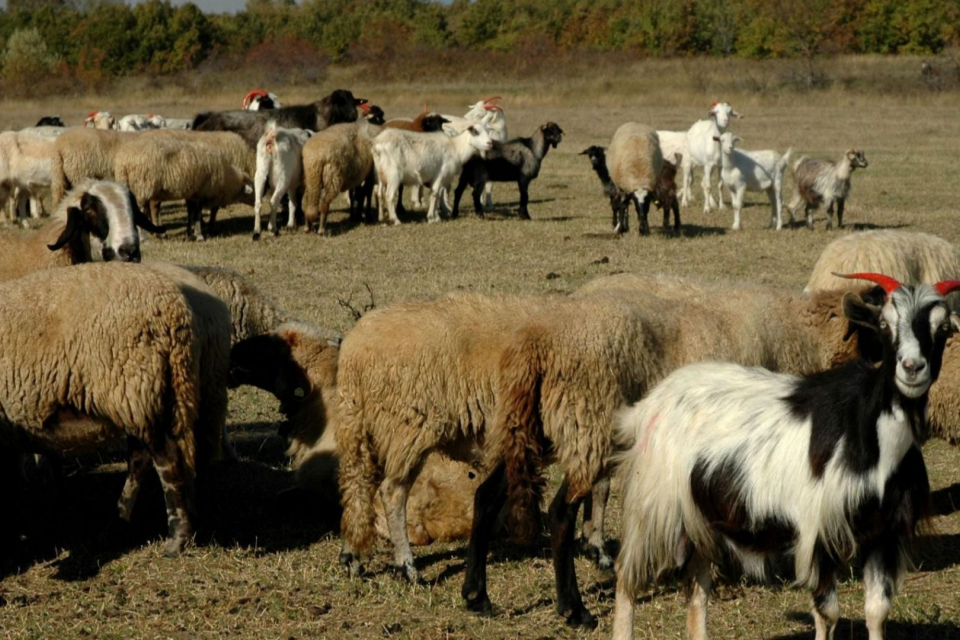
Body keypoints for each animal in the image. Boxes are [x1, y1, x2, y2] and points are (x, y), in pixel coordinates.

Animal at [0, 260, 206, 556]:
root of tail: (175, 311)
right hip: (152, 399)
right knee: (141, 460)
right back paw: (120, 522)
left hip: (139, 390)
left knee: (168, 460)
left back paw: (177, 538)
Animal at [612, 272, 956, 640]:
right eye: (884, 324)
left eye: (943, 328)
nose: (912, 368)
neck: (870, 436)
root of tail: (648, 404)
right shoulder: (817, 531)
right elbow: (827, 614)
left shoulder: (883, 532)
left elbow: (877, 612)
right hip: (653, 507)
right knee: (626, 580)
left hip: (699, 516)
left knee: (696, 590)